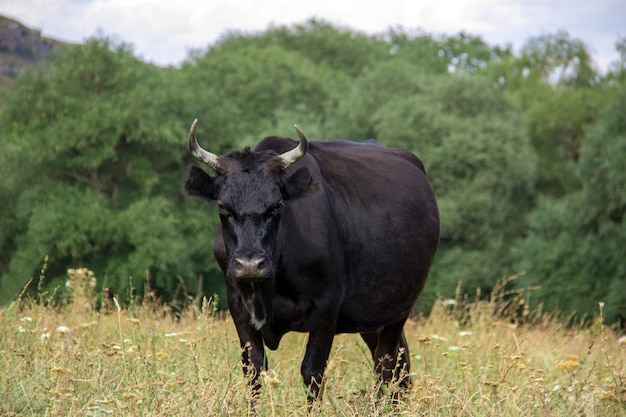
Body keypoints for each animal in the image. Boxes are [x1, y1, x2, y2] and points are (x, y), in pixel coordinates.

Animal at [184, 120, 438, 404]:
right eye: (222, 207)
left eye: (277, 206)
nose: (250, 264)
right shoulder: (238, 306)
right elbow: (253, 371)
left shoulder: (327, 306)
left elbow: (312, 372)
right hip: (372, 316)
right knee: (398, 365)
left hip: (399, 308)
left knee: (388, 365)